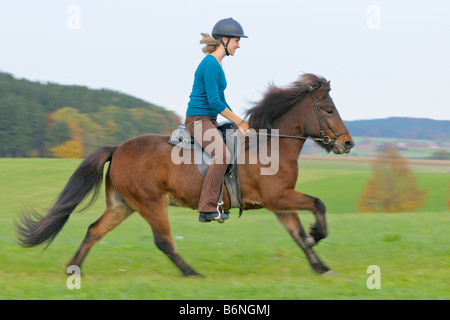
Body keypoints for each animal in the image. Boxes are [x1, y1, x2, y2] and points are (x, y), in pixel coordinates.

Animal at [15, 72, 356, 276]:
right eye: (328, 110)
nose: (348, 143)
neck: (271, 144)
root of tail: (118, 148)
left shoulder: (279, 203)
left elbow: (298, 236)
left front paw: (321, 266)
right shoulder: (279, 197)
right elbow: (318, 204)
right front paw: (318, 234)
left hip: (123, 205)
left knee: (94, 231)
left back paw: (73, 270)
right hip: (151, 203)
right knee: (163, 241)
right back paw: (192, 273)